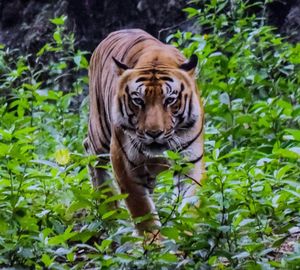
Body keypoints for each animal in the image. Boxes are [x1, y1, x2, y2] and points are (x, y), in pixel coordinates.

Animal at [85, 29, 206, 236]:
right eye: (138, 101)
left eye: (170, 100)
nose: (154, 133)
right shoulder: (124, 162)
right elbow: (142, 210)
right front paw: (152, 241)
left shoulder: (189, 161)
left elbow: (190, 204)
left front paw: (187, 234)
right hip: (100, 132)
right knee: (90, 152)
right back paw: (109, 210)